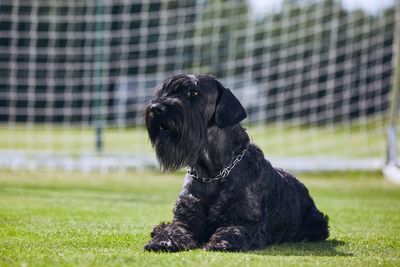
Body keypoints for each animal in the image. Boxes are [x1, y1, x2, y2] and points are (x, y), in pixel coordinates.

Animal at [144, 74, 328, 252]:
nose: (156, 108)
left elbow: (232, 230)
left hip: (316, 221)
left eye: (193, 92)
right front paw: (163, 240)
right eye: (165, 91)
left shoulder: (246, 221)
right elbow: (173, 228)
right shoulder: (185, 219)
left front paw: (221, 243)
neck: (211, 173)